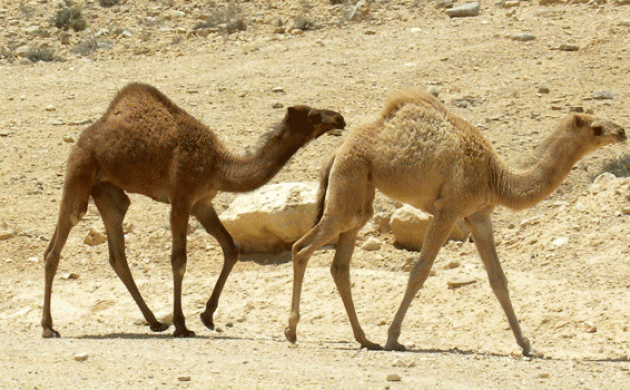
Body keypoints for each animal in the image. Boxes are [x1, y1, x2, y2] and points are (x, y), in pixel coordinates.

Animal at [42, 82, 346, 338]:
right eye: (314, 115)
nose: (339, 118)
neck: (218, 165)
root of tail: (88, 135)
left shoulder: (202, 202)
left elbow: (231, 247)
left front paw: (207, 316)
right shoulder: (182, 198)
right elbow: (179, 259)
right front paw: (182, 324)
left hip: (108, 191)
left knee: (117, 252)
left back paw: (154, 322)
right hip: (80, 171)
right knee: (56, 246)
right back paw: (48, 327)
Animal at [286, 90, 628, 354]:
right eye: (597, 128)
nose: (622, 131)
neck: (497, 177)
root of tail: (336, 152)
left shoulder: (479, 216)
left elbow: (498, 280)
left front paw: (527, 345)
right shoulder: (449, 209)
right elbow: (420, 272)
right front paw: (394, 338)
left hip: (360, 197)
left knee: (340, 265)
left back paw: (363, 339)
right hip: (351, 180)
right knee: (302, 248)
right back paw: (292, 331)